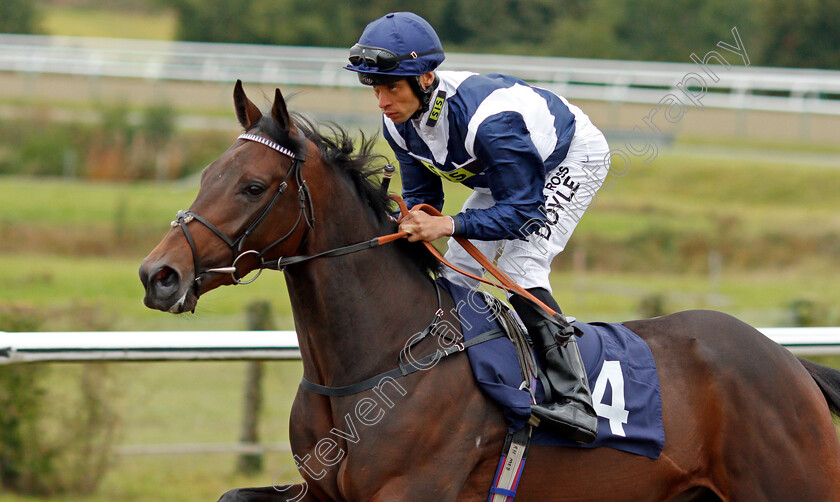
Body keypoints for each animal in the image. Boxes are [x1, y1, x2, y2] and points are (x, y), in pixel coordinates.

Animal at [141, 80, 840, 500]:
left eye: (253, 186)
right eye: (207, 174)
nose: (158, 274)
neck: (378, 362)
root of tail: (787, 360)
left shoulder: (413, 491)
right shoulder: (321, 489)